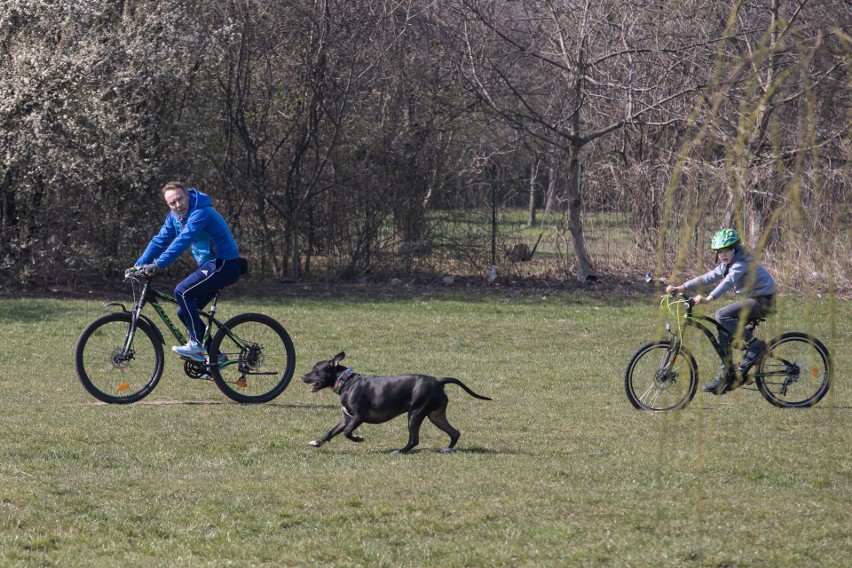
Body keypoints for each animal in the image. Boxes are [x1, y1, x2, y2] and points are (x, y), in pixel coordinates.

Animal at [302, 350, 492, 452]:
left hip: (415, 414)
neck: (345, 381)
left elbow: (347, 432)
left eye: (316, 370)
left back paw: (400, 451)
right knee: (454, 432)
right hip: (435, 416)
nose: (302, 376)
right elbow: (331, 432)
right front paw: (317, 442)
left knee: (414, 440)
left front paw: (358, 439)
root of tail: (438, 380)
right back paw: (447, 449)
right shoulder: (346, 418)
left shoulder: (358, 417)